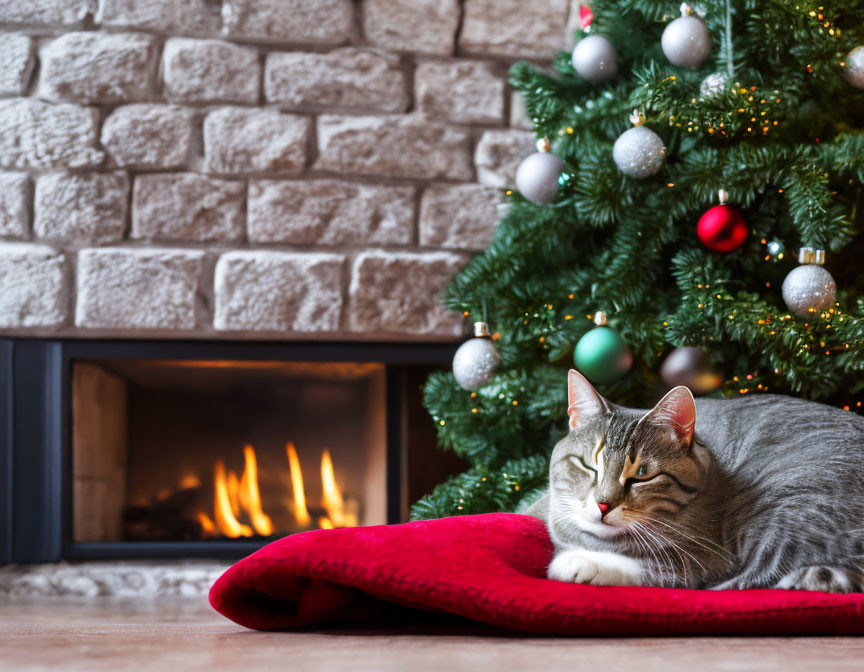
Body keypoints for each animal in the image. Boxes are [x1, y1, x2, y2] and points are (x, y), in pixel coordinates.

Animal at [528, 368, 864, 592]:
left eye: (642, 474)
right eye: (588, 465)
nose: (602, 504)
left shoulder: (710, 556)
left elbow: (667, 569)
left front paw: (577, 562)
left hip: (782, 507)